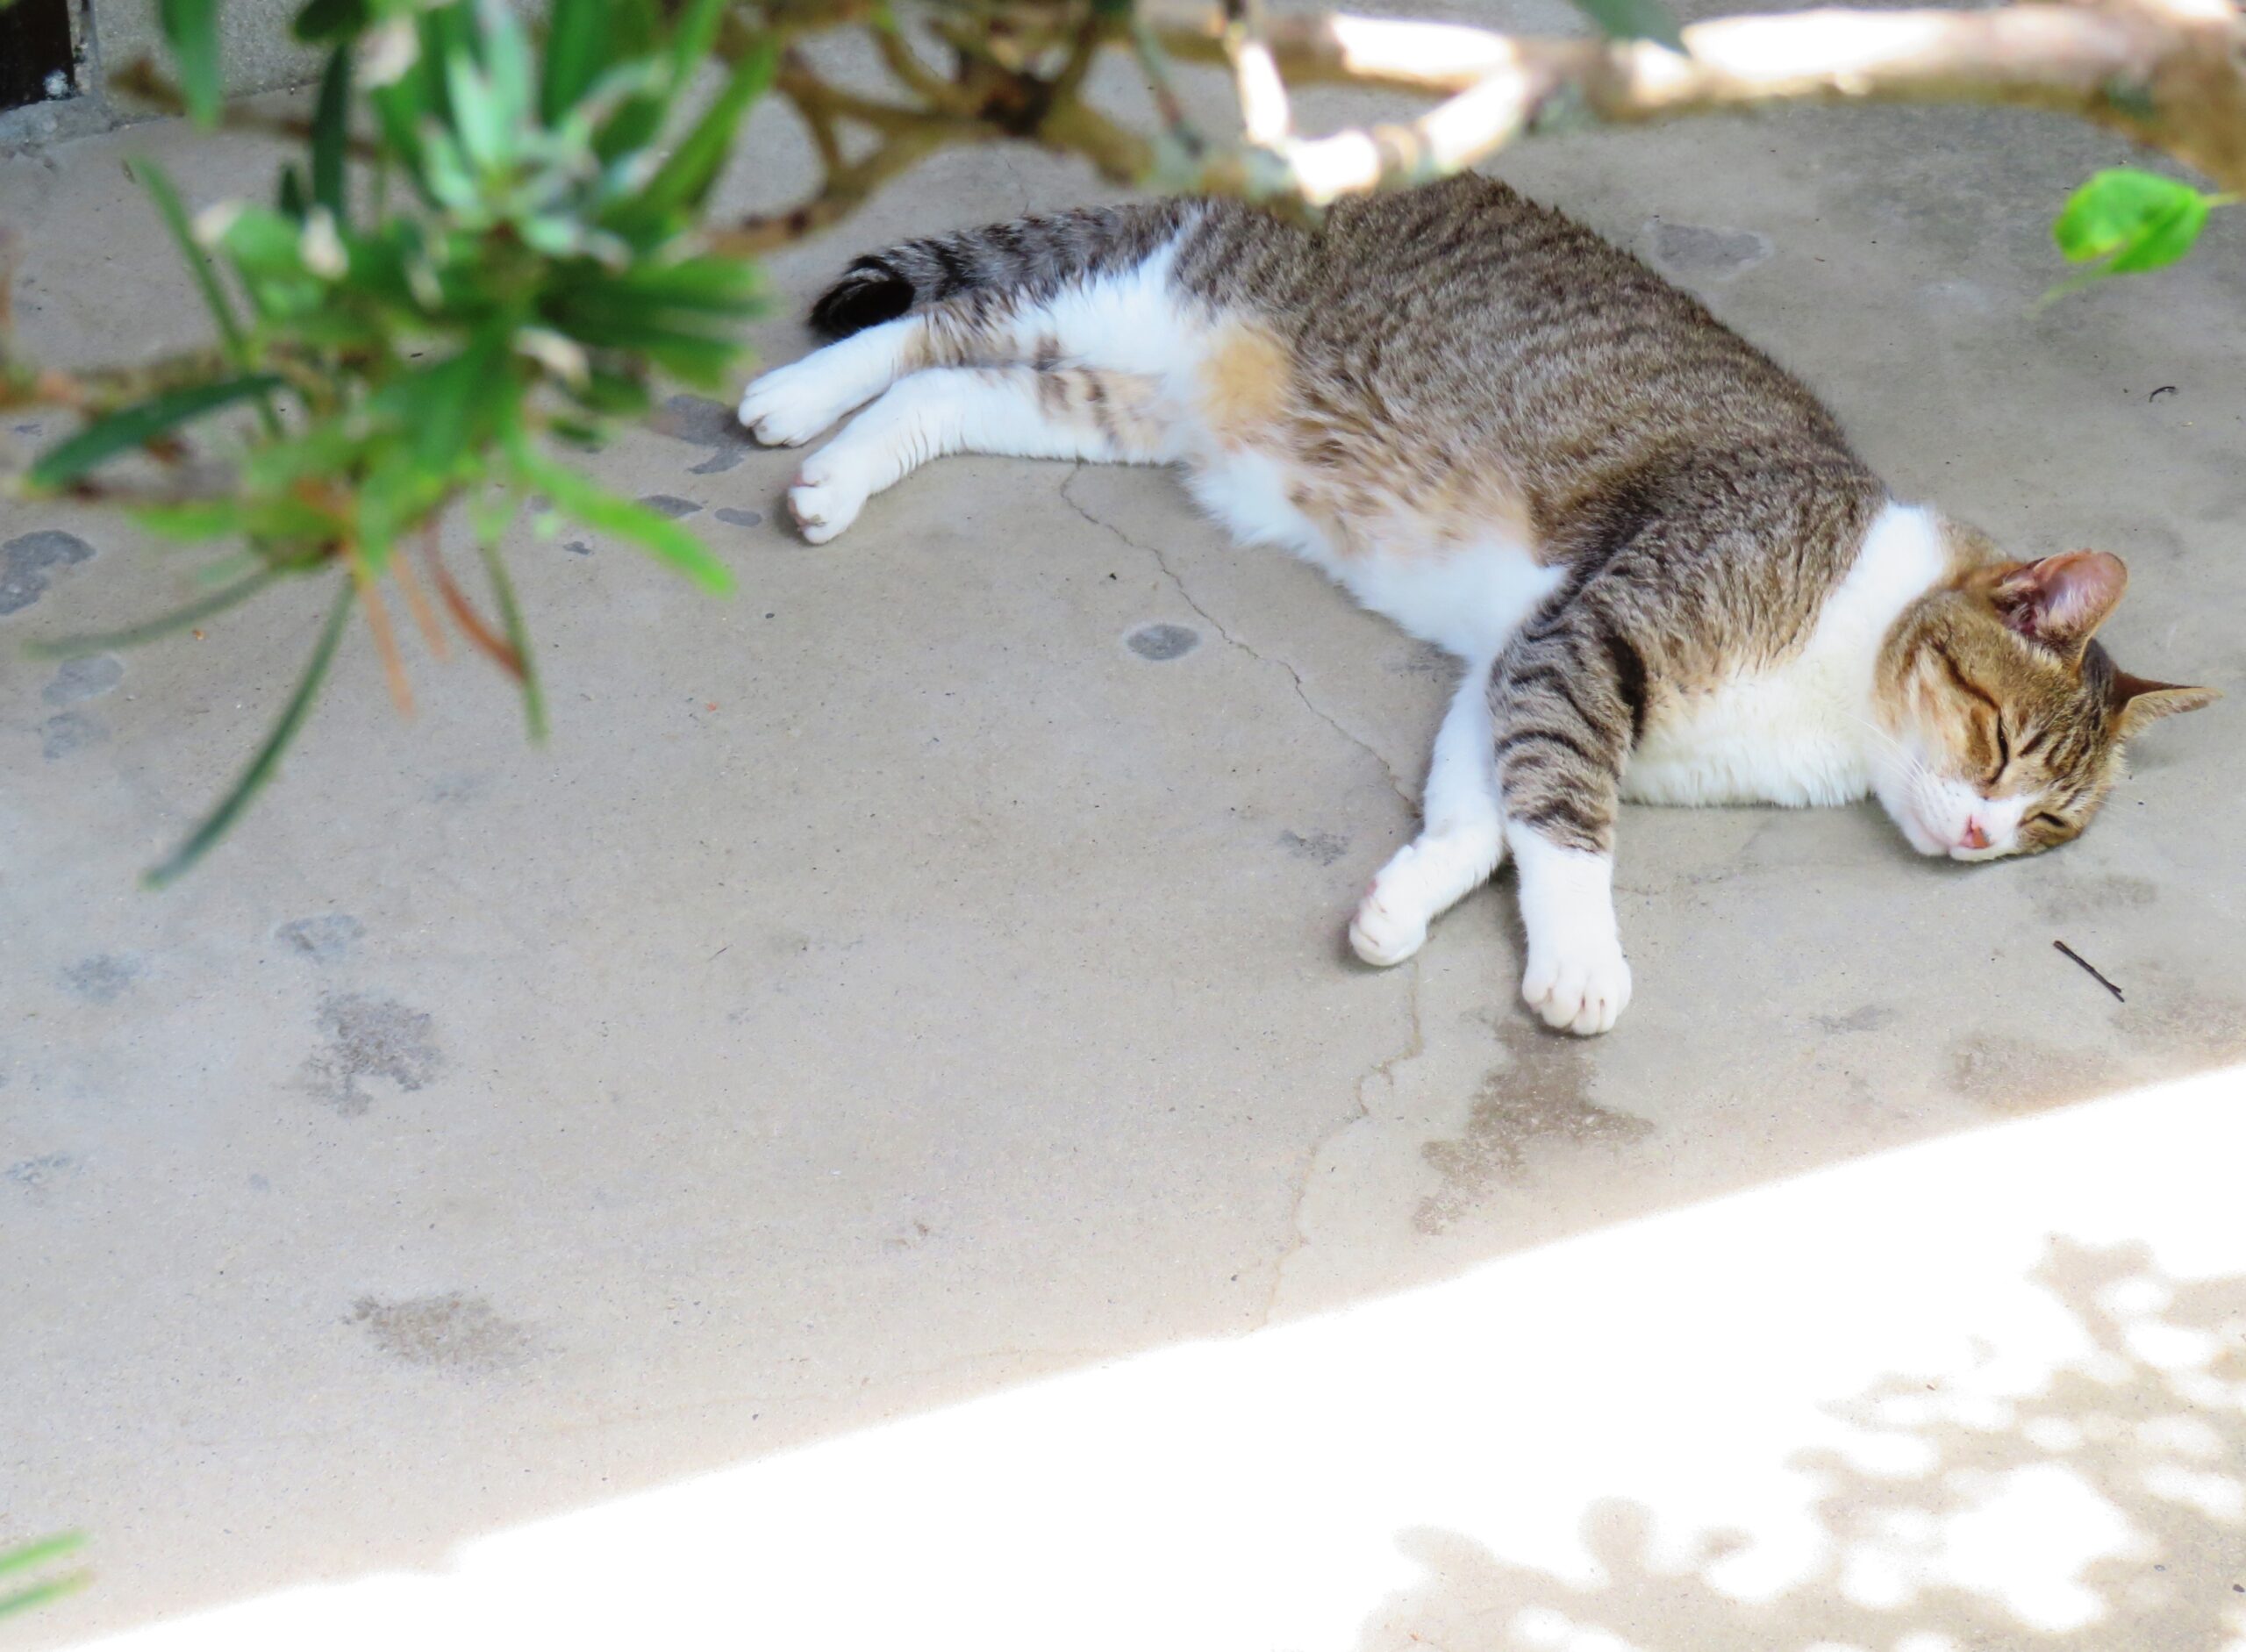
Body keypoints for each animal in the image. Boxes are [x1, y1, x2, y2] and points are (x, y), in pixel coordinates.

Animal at [736, 177, 2210, 1032]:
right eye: (2000, 744)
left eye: (2052, 822)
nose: (1977, 838)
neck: (1843, 670)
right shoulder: (1590, 636)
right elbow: (1562, 821)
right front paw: (1580, 964)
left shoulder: (1519, 659)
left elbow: (1487, 809)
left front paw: (1406, 897)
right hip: (1137, 301)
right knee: (941, 323)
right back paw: (793, 401)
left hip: (1133, 400)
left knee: (956, 385)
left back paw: (840, 463)